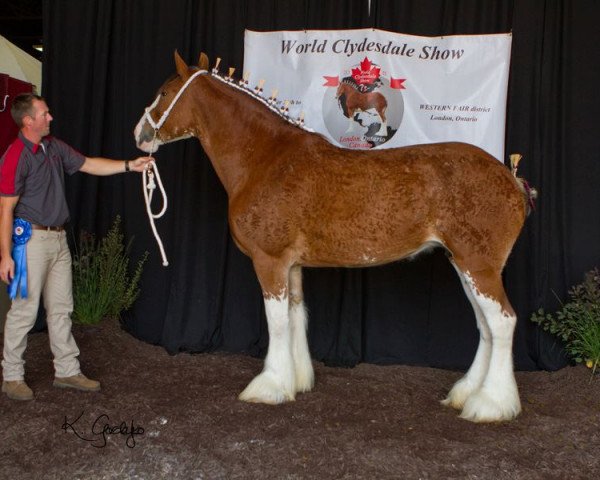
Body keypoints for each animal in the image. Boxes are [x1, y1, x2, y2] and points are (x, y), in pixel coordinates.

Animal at [135, 50, 536, 422]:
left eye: (163, 92)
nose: (139, 134)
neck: (265, 159)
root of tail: (511, 180)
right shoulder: (291, 266)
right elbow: (296, 316)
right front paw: (295, 381)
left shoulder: (270, 261)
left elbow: (277, 323)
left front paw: (268, 386)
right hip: (465, 265)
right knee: (486, 326)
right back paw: (468, 392)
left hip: (478, 266)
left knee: (502, 322)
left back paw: (490, 404)